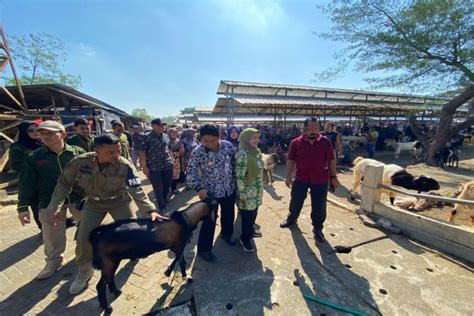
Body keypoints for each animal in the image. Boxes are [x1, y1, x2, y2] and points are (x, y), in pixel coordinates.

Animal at [88, 200, 217, 314]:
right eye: (214, 209)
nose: (215, 222)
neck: (185, 218)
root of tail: (99, 234)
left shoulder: (175, 247)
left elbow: (177, 260)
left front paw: (168, 271)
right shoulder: (180, 246)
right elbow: (181, 262)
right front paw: (186, 277)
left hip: (113, 260)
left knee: (109, 278)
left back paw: (116, 291)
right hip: (108, 262)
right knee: (100, 286)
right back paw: (107, 307)